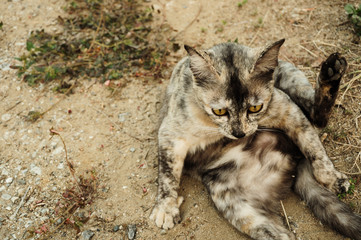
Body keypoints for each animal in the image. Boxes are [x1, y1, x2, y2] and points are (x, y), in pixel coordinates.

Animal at [149, 38, 360, 239]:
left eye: (255, 108)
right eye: (219, 111)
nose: (239, 134)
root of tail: (293, 161)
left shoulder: (288, 110)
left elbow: (313, 145)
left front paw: (331, 178)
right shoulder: (171, 133)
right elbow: (167, 175)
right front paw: (166, 209)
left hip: (287, 72)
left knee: (316, 118)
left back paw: (331, 72)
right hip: (233, 202)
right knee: (279, 233)